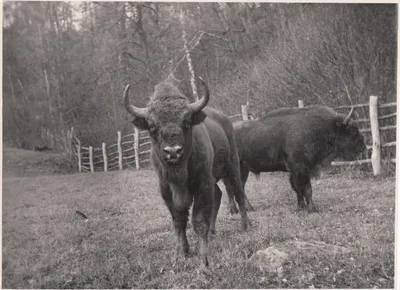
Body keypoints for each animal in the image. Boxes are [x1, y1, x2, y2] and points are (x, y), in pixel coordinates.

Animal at [124, 77, 250, 268]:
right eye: (152, 126)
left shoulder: (202, 185)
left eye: (187, 122)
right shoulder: (167, 190)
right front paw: (181, 253)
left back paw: (245, 226)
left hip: (232, 166)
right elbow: (179, 220)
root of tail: (225, 120)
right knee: (219, 195)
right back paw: (212, 231)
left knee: (238, 193)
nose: (173, 152)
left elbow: (198, 218)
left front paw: (204, 256)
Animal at [231, 106, 366, 213]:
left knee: (238, 188)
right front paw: (312, 209)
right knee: (237, 188)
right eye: (352, 130)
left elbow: (297, 188)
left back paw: (243, 209)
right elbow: (306, 188)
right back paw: (241, 209)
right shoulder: (301, 168)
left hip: (243, 169)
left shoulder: (296, 171)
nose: (363, 146)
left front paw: (301, 206)